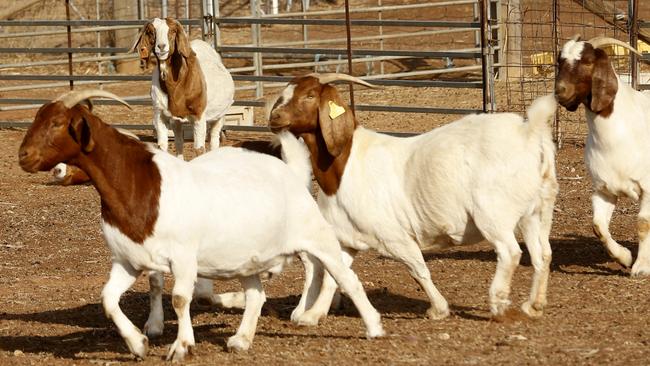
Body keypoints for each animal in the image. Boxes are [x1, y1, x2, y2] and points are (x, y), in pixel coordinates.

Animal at [17, 89, 382, 360]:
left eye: (57, 123)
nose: (23, 156)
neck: (141, 186)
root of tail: (289, 171)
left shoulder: (183, 257)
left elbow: (180, 299)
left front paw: (181, 347)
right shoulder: (127, 260)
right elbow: (108, 299)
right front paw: (138, 343)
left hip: (317, 237)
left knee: (347, 278)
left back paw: (373, 328)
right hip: (248, 256)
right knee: (256, 295)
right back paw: (241, 340)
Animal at [130, 17, 234, 158]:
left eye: (173, 31)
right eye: (151, 32)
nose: (161, 46)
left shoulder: (199, 115)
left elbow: (199, 149)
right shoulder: (160, 114)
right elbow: (162, 146)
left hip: (219, 116)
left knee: (214, 139)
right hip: (176, 121)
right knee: (179, 142)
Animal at [268, 73, 556, 324]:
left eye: (309, 95)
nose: (274, 116)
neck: (343, 166)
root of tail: (529, 133)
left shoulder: (394, 236)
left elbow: (418, 270)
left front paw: (438, 309)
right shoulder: (348, 237)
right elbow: (335, 277)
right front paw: (312, 316)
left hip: (493, 212)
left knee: (510, 252)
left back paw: (497, 304)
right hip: (537, 210)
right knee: (542, 254)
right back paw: (534, 305)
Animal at [552, 37, 648, 276]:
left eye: (587, 61)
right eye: (560, 61)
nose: (560, 91)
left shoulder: (648, 187)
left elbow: (643, 224)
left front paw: (641, 267)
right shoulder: (604, 189)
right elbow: (598, 226)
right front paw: (624, 257)